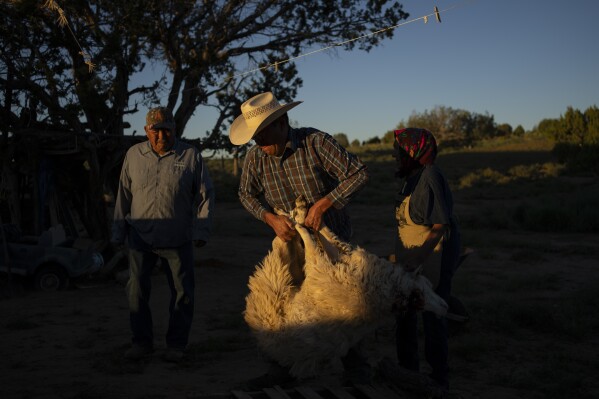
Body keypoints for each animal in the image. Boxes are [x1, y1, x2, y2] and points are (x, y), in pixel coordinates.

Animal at [243, 198, 446, 380]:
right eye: (428, 285)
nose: (445, 307)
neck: (381, 294)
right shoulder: (339, 260)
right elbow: (327, 235)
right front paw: (310, 215)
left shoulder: (319, 265)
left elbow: (309, 237)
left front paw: (303, 218)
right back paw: (289, 212)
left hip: (275, 280)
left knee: (282, 242)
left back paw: (288, 217)